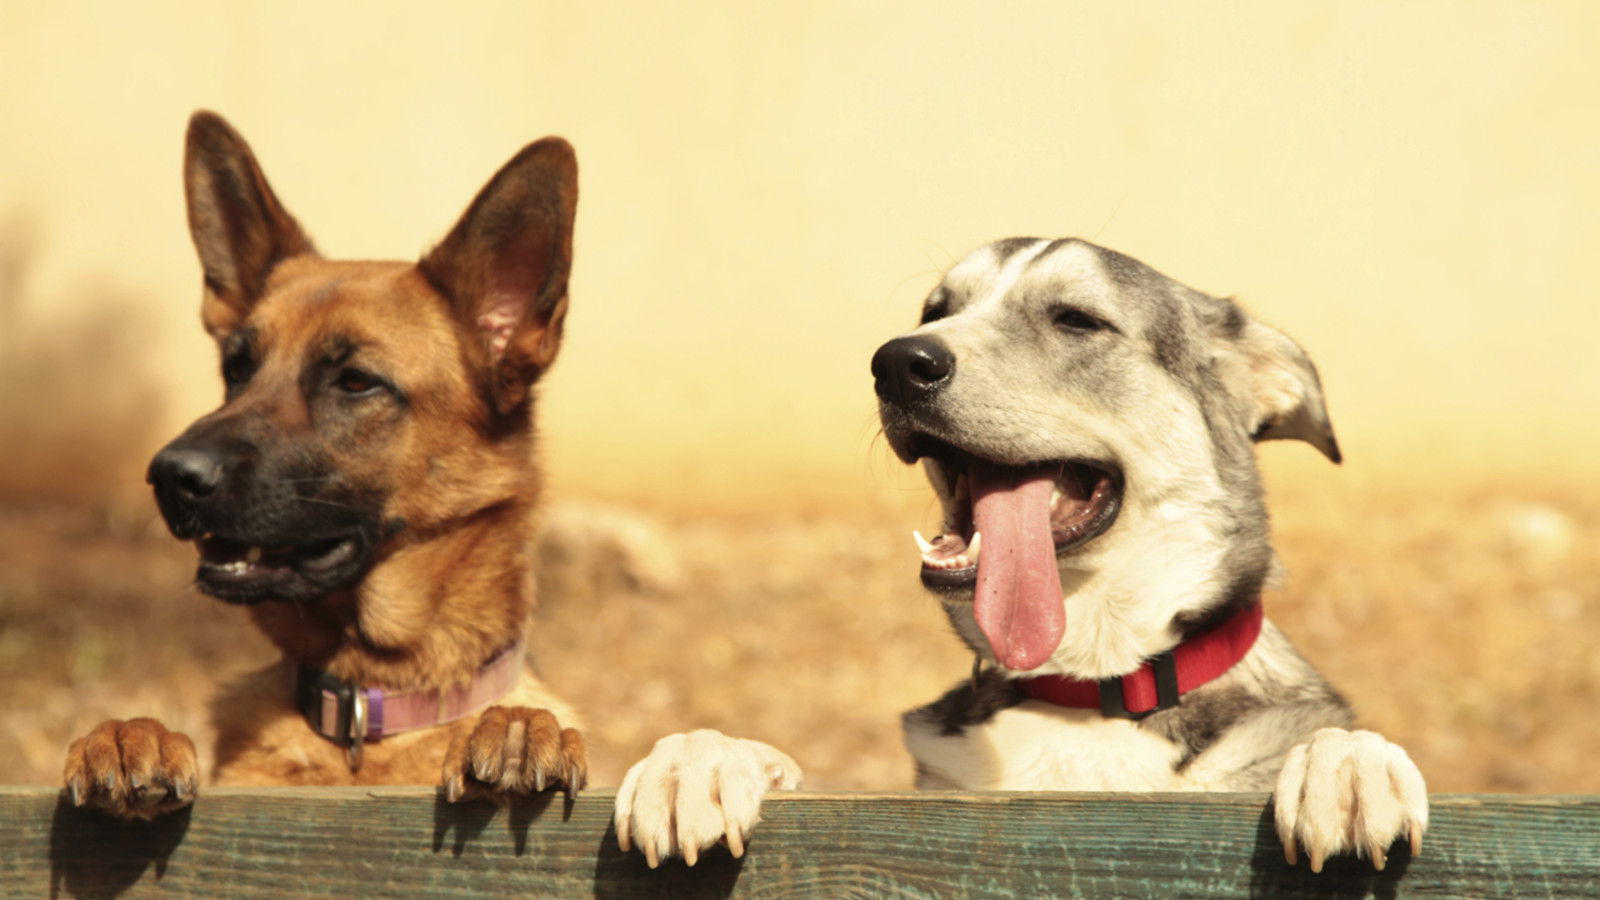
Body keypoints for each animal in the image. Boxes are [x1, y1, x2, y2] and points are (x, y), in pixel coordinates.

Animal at [64, 110, 588, 813]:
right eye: (237, 369)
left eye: (356, 382)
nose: (171, 475)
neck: (368, 709)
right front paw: (130, 735)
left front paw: (516, 728)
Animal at [617, 237, 1433, 871]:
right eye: (934, 311)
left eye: (1076, 319)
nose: (895, 362)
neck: (1093, 686)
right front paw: (700, 759)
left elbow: (1338, 740)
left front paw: (1346, 763)